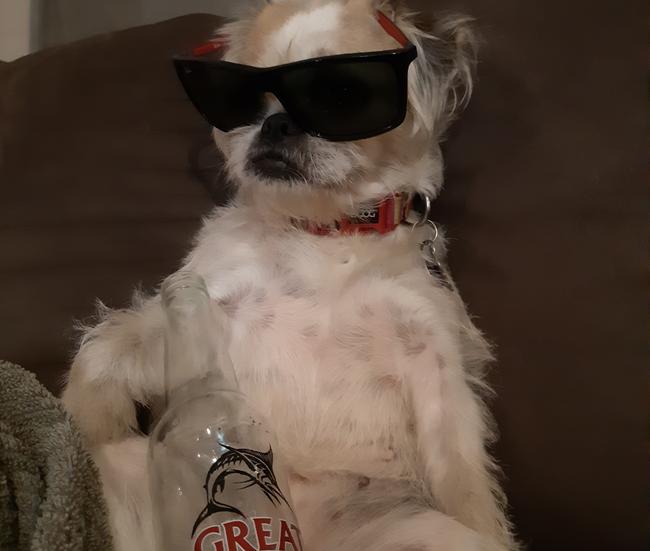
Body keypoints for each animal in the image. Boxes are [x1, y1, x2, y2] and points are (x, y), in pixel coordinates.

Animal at [62, 1, 516, 551]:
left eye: (342, 95)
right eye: (240, 97)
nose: (275, 123)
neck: (323, 232)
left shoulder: (431, 355)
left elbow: (462, 472)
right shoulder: (208, 304)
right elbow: (103, 354)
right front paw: (90, 412)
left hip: (423, 533)